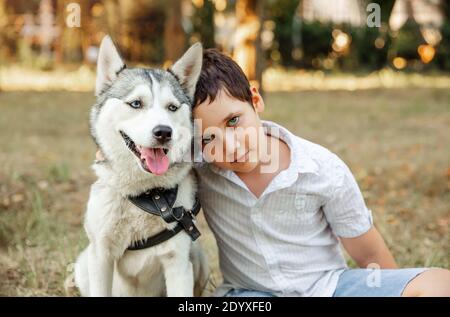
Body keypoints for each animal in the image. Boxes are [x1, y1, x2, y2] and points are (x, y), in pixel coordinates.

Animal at [72, 37, 207, 296]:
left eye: (172, 108)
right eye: (136, 104)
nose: (164, 132)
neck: (146, 194)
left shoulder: (178, 263)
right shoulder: (100, 256)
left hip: (198, 258)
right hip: (83, 264)